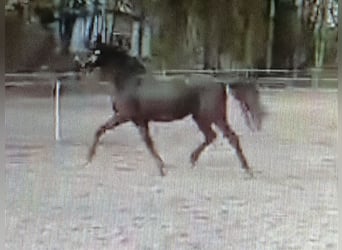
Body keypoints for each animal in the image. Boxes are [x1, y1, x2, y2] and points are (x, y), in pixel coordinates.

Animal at [83, 44, 264, 176]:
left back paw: (247, 170)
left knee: (231, 138)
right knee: (211, 136)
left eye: (94, 52)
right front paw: (161, 167)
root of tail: (220, 82)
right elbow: (148, 141)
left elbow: (101, 130)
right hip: (200, 117)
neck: (130, 81)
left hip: (214, 116)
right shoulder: (139, 120)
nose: (82, 65)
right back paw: (192, 160)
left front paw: (88, 159)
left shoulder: (124, 115)